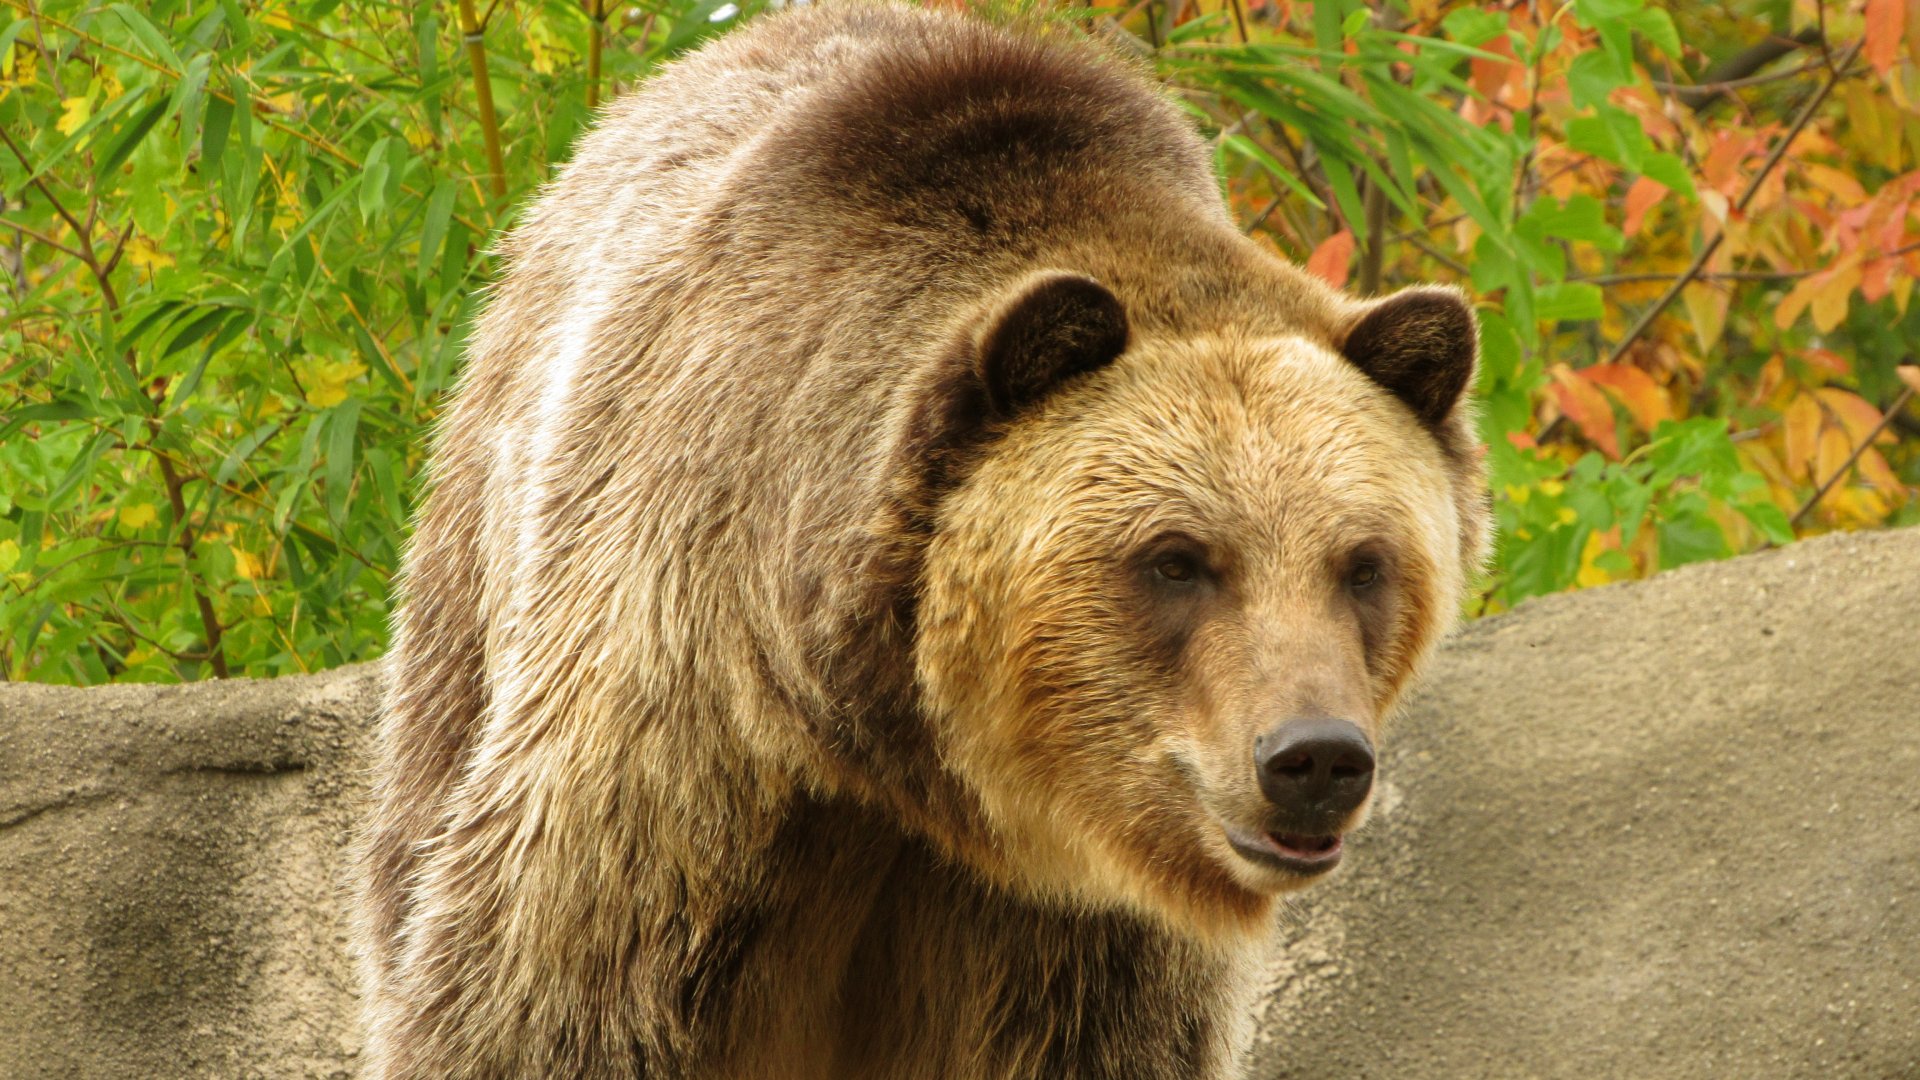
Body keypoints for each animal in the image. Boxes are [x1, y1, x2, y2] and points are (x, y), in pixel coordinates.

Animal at [356, 4, 1490, 1078]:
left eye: (1365, 564)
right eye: (1176, 560)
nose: (1314, 758)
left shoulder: (1071, 927)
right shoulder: (674, 694)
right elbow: (547, 984)